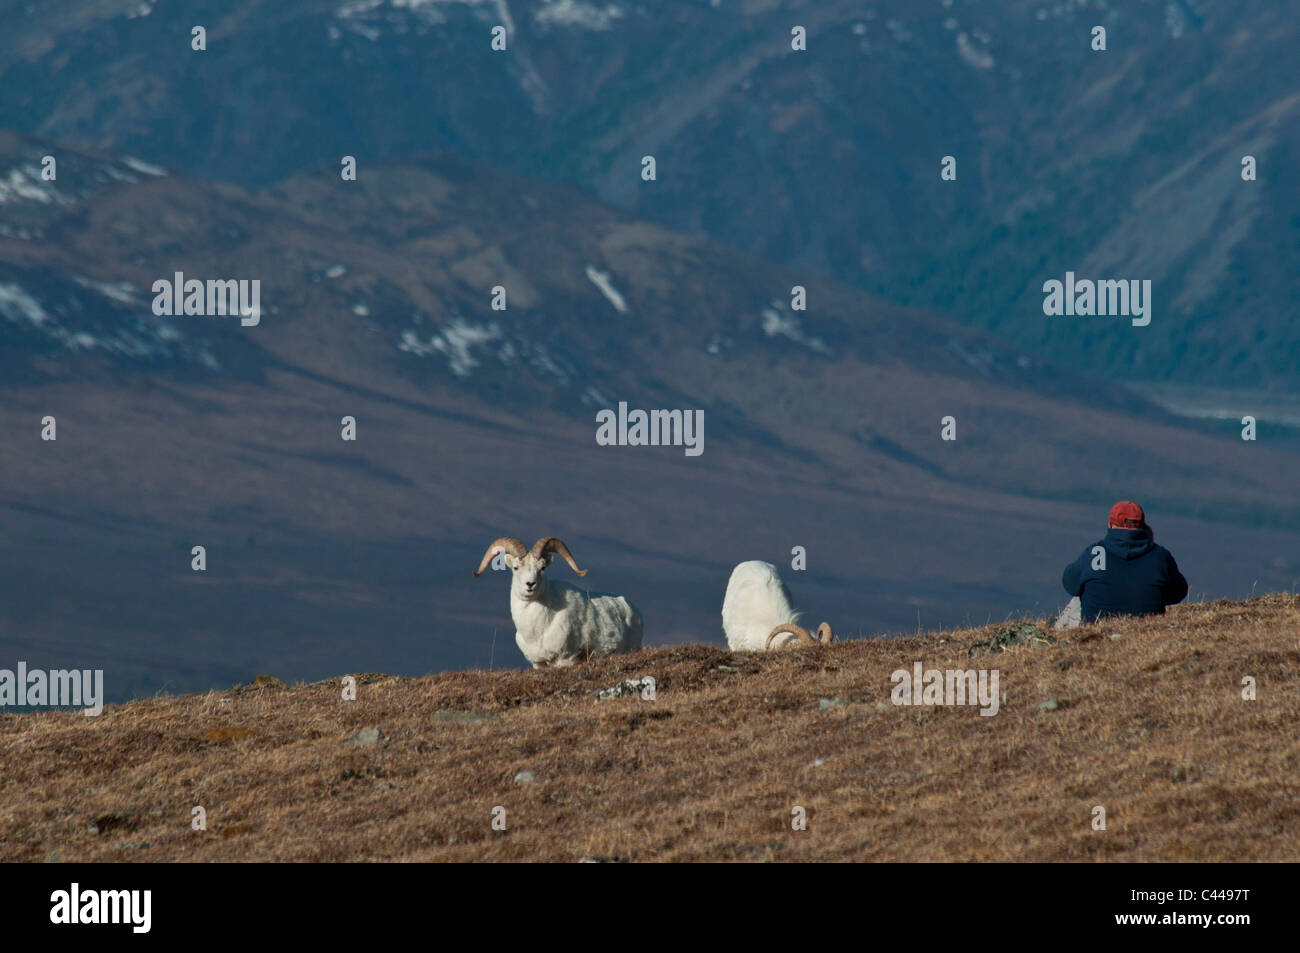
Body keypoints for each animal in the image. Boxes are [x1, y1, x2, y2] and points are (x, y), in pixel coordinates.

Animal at [473, 536, 643, 668]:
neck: (537, 630)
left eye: (542, 568)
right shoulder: (538, 664)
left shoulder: (565, 659)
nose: (530, 584)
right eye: (515, 568)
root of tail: (631, 608)